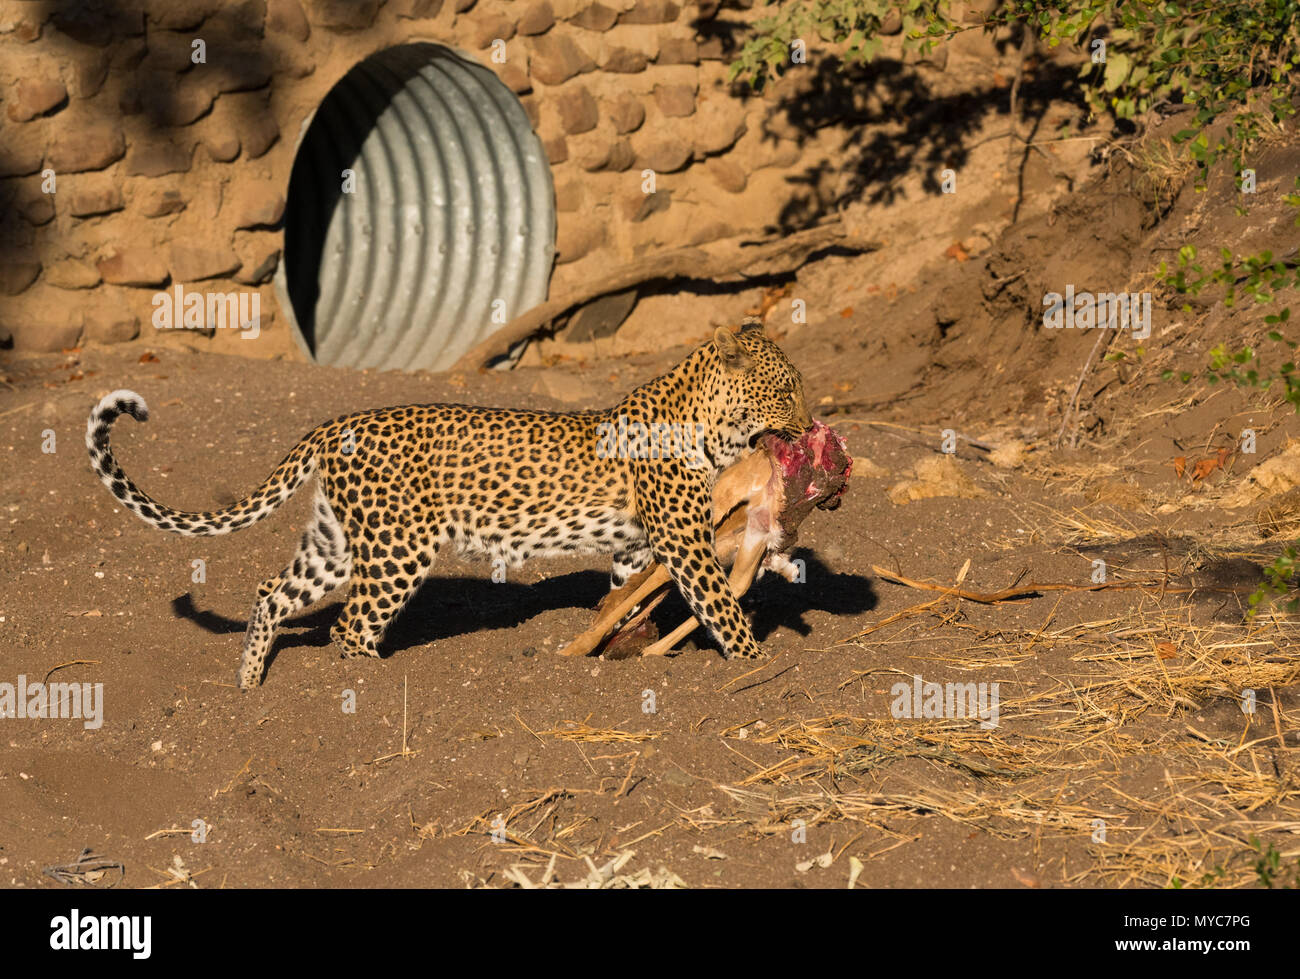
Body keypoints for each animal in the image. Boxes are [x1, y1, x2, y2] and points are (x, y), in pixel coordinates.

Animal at [86, 317, 806, 681]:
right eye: (787, 391)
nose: (809, 424)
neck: (706, 421)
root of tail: (332, 425)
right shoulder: (684, 540)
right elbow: (720, 603)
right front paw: (756, 666)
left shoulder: (633, 547)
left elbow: (622, 598)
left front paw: (616, 647)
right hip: (397, 546)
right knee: (351, 626)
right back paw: (370, 686)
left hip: (340, 543)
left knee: (272, 591)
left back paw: (251, 685)